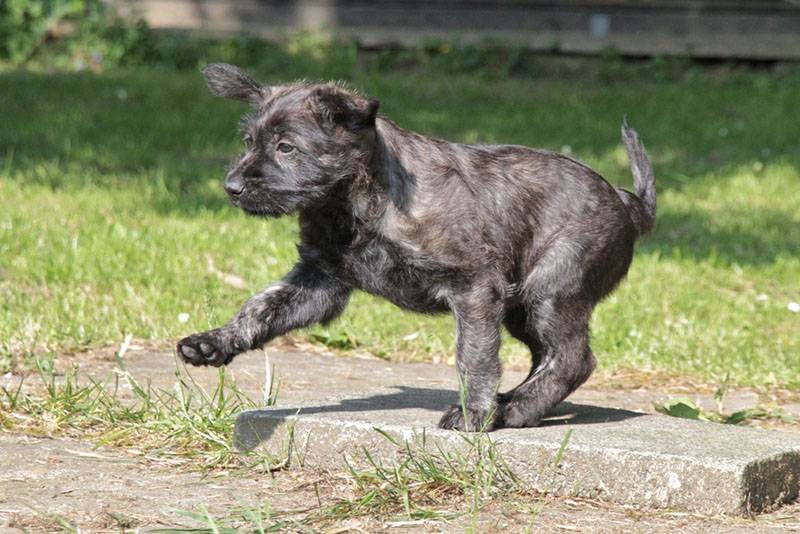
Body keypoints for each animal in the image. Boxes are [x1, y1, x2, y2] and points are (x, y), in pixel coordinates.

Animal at [177, 62, 656, 434]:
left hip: (551, 291)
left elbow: (474, 356)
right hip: (524, 307)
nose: (232, 187)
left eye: (286, 147)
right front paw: (213, 342)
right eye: (249, 143)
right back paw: (512, 405)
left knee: (572, 358)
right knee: (550, 355)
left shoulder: (474, 288)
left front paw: (473, 413)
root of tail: (628, 202)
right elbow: (259, 308)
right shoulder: (319, 281)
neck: (354, 205)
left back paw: (514, 409)